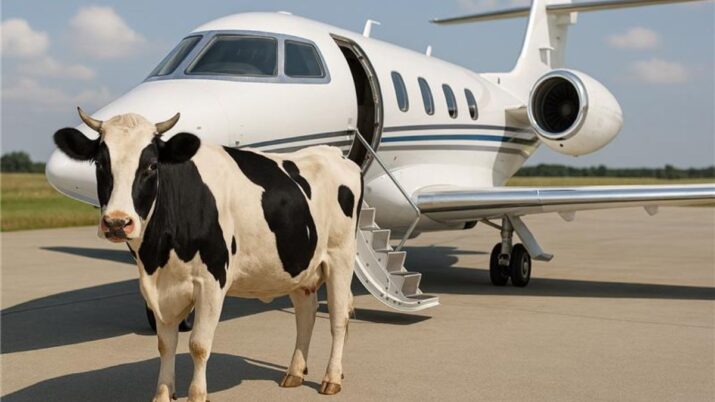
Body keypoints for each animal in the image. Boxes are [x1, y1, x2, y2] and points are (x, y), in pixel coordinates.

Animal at [53, 108, 363, 402]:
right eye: (100, 163)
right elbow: (165, 344)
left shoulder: (212, 280)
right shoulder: (160, 288)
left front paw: (197, 394)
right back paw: (295, 373)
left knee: (338, 318)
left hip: (341, 257)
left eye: (152, 165)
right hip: (300, 266)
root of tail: (335, 153)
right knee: (305, 315)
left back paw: (331, 378)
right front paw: (163, 393)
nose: (118, 222)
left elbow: (199, 345)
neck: (157, 255)